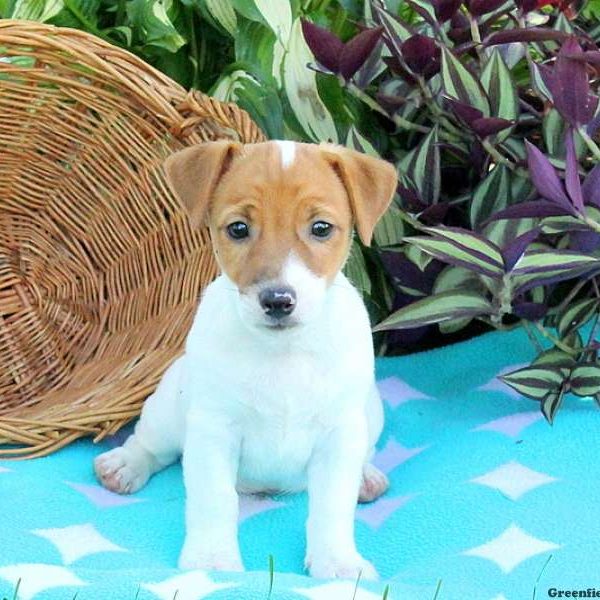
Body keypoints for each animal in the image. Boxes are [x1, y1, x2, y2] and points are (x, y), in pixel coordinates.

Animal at [95, 138, 398, 580]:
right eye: (238, 229)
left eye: (321, 228)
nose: (278, 300)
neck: (282, 353)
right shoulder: (213, 431)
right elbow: (214, 500)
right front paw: (211, 561)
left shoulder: (339, 435)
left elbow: (331, 508)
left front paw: (338, 562)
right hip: (169, 408)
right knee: (151, 444)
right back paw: (124, 465)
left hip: (370, 414)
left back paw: (366, 477)